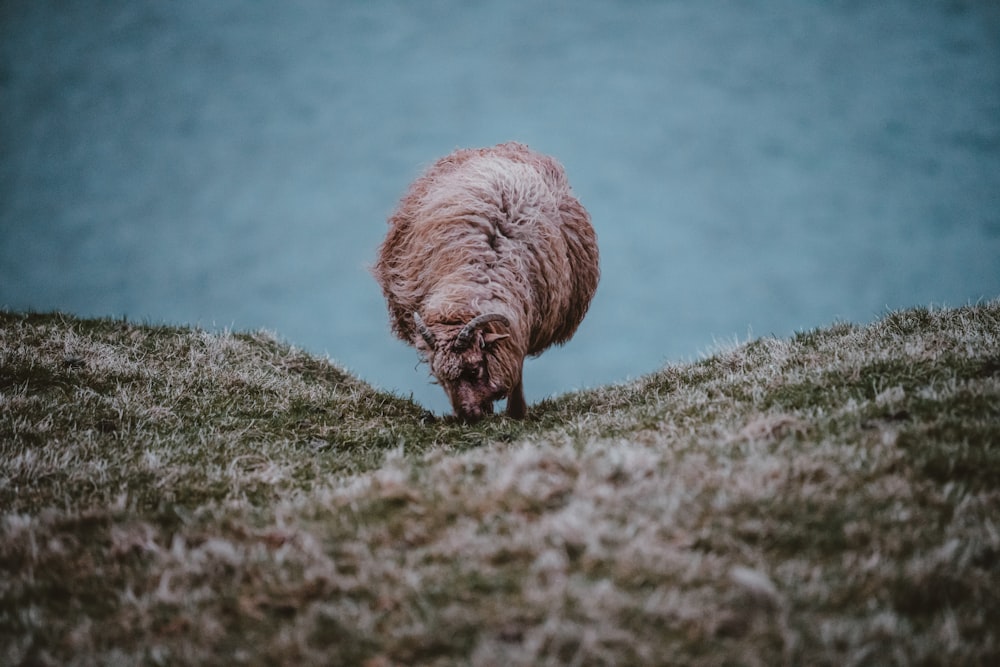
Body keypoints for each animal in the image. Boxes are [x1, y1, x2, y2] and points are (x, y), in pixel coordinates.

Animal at [374, 142, 592, 422]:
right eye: (441, 376)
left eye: (475, 369)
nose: (467, 418)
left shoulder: (519, 328)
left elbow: (516, 371)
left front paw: (516, 412)